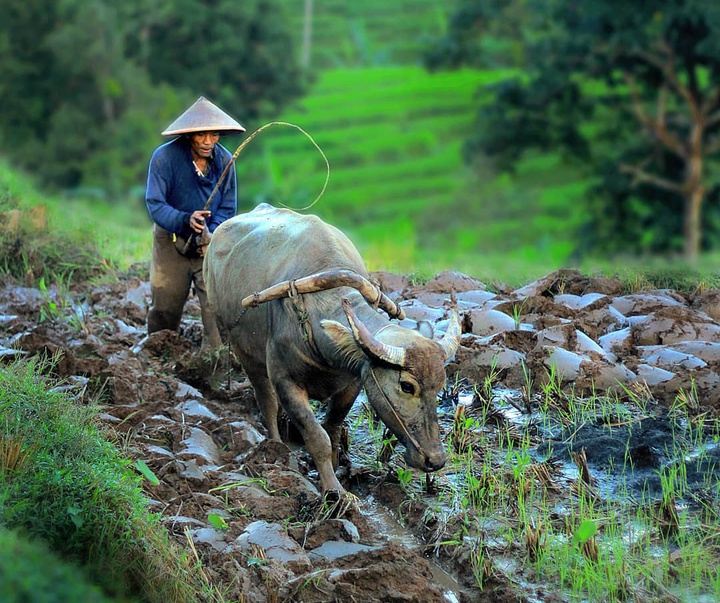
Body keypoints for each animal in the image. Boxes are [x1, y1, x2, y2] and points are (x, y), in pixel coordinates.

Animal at [202, 204, 462, 496]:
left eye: (440, 386)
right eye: (407, 386)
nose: (435, 460)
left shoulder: (354, 381)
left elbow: (334, 427)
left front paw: (341, 469)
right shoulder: (285, 380)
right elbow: (317, 437)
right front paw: (334, 490)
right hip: (242, 349)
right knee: (266, 400)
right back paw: (277, 446)